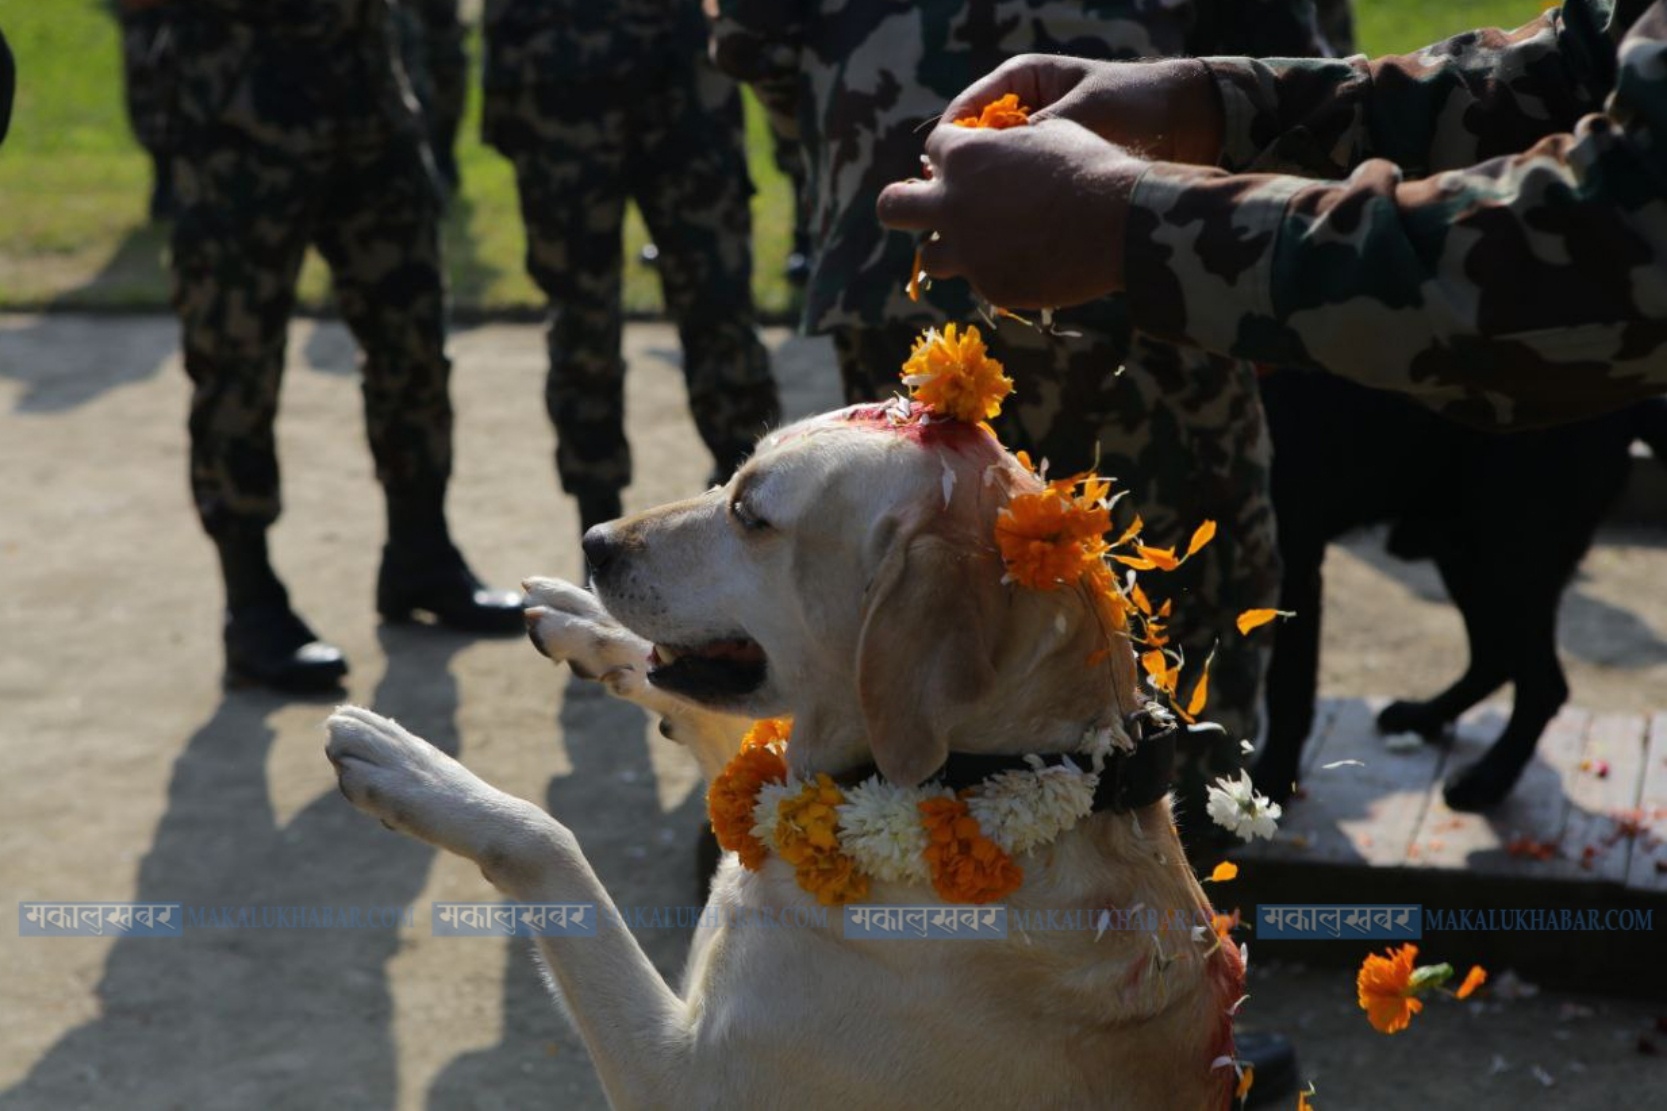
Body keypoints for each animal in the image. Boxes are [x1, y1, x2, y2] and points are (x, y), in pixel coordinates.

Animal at [321, 402, 1240, 1100]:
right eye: (730, 476)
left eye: (749, 514)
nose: (594, 540)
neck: (979, 781)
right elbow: (712, 723)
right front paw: (590, 626)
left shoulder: (680, 1080)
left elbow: (550, 847)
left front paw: (419, 773)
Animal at [1253, 366, 1660, 810]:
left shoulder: (1292, 564)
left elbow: (1286, 689)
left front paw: (1269, 784)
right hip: (1465, 552)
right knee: (1494, 658)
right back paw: (1424, 716)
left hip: (1511, 555)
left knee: (1543, 684)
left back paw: (1487, 780)